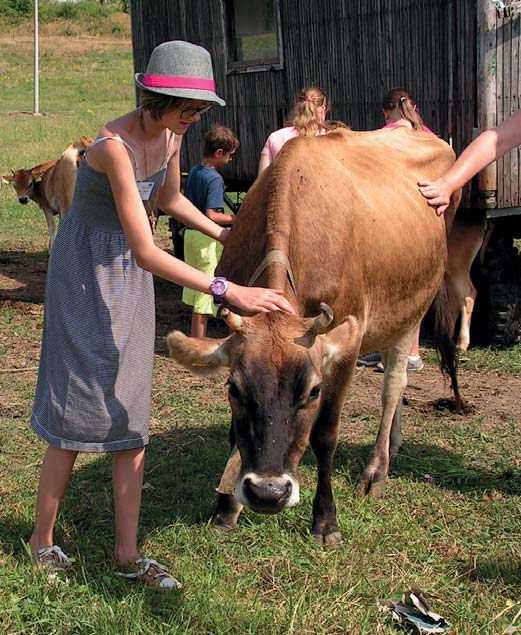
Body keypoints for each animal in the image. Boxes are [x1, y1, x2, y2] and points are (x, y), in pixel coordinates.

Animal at [167, 129, 460, 548]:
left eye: (313, 392)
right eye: (234, 389)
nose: (268, 492)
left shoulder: (346, 345)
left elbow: (325, 435)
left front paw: (325, 521)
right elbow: (234, 434)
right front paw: (227, 510)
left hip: (416, 303)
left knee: (394, 383)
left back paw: (377, 469)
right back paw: (394, 442)